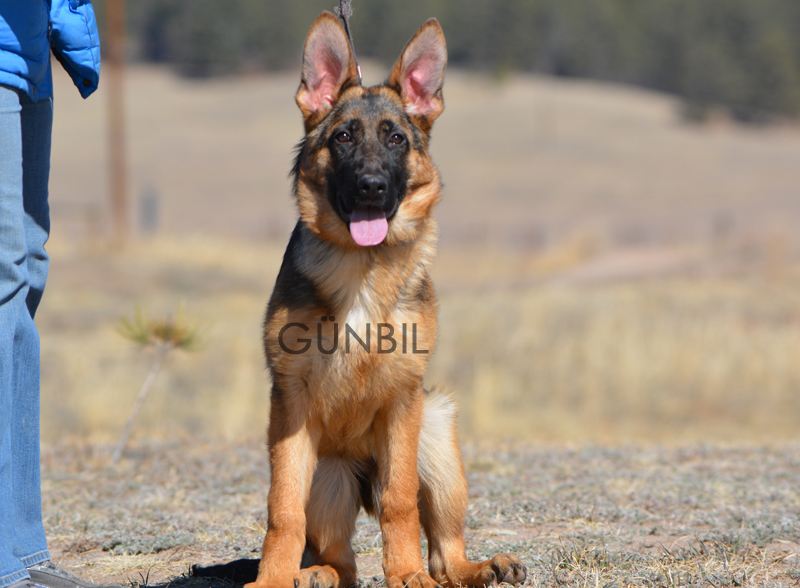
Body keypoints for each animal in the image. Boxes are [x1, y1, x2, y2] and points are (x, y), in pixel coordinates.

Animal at [247, 12, 527, 588]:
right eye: (344, 136)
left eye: (396, 138)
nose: (372, 187)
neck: (363, 269)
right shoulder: (290, 407)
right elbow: (282, 509)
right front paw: (271, 578)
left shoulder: (404, 401)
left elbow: (400, 502)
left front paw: (406, 574)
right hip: (328, 478)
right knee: (342, 561)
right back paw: (314, 574)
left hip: (437, 437)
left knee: (442, 549)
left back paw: (482, 566)